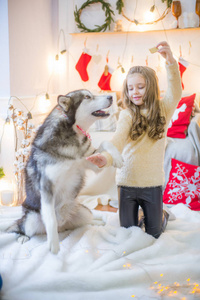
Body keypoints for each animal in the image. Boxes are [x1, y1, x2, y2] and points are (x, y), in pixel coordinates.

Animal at [7, 89, 122, 253]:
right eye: (87, 97)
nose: (110, 97)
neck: (73, 135)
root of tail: (63, 227)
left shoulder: (91, 162)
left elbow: (106, 143)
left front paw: (117, 158)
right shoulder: (47, 188)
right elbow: (51, 220)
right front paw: (54, 246)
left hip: (83, 212)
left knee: (87, 220)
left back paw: (98, 222)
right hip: (31, 219)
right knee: (21, 226)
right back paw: (23, 236)